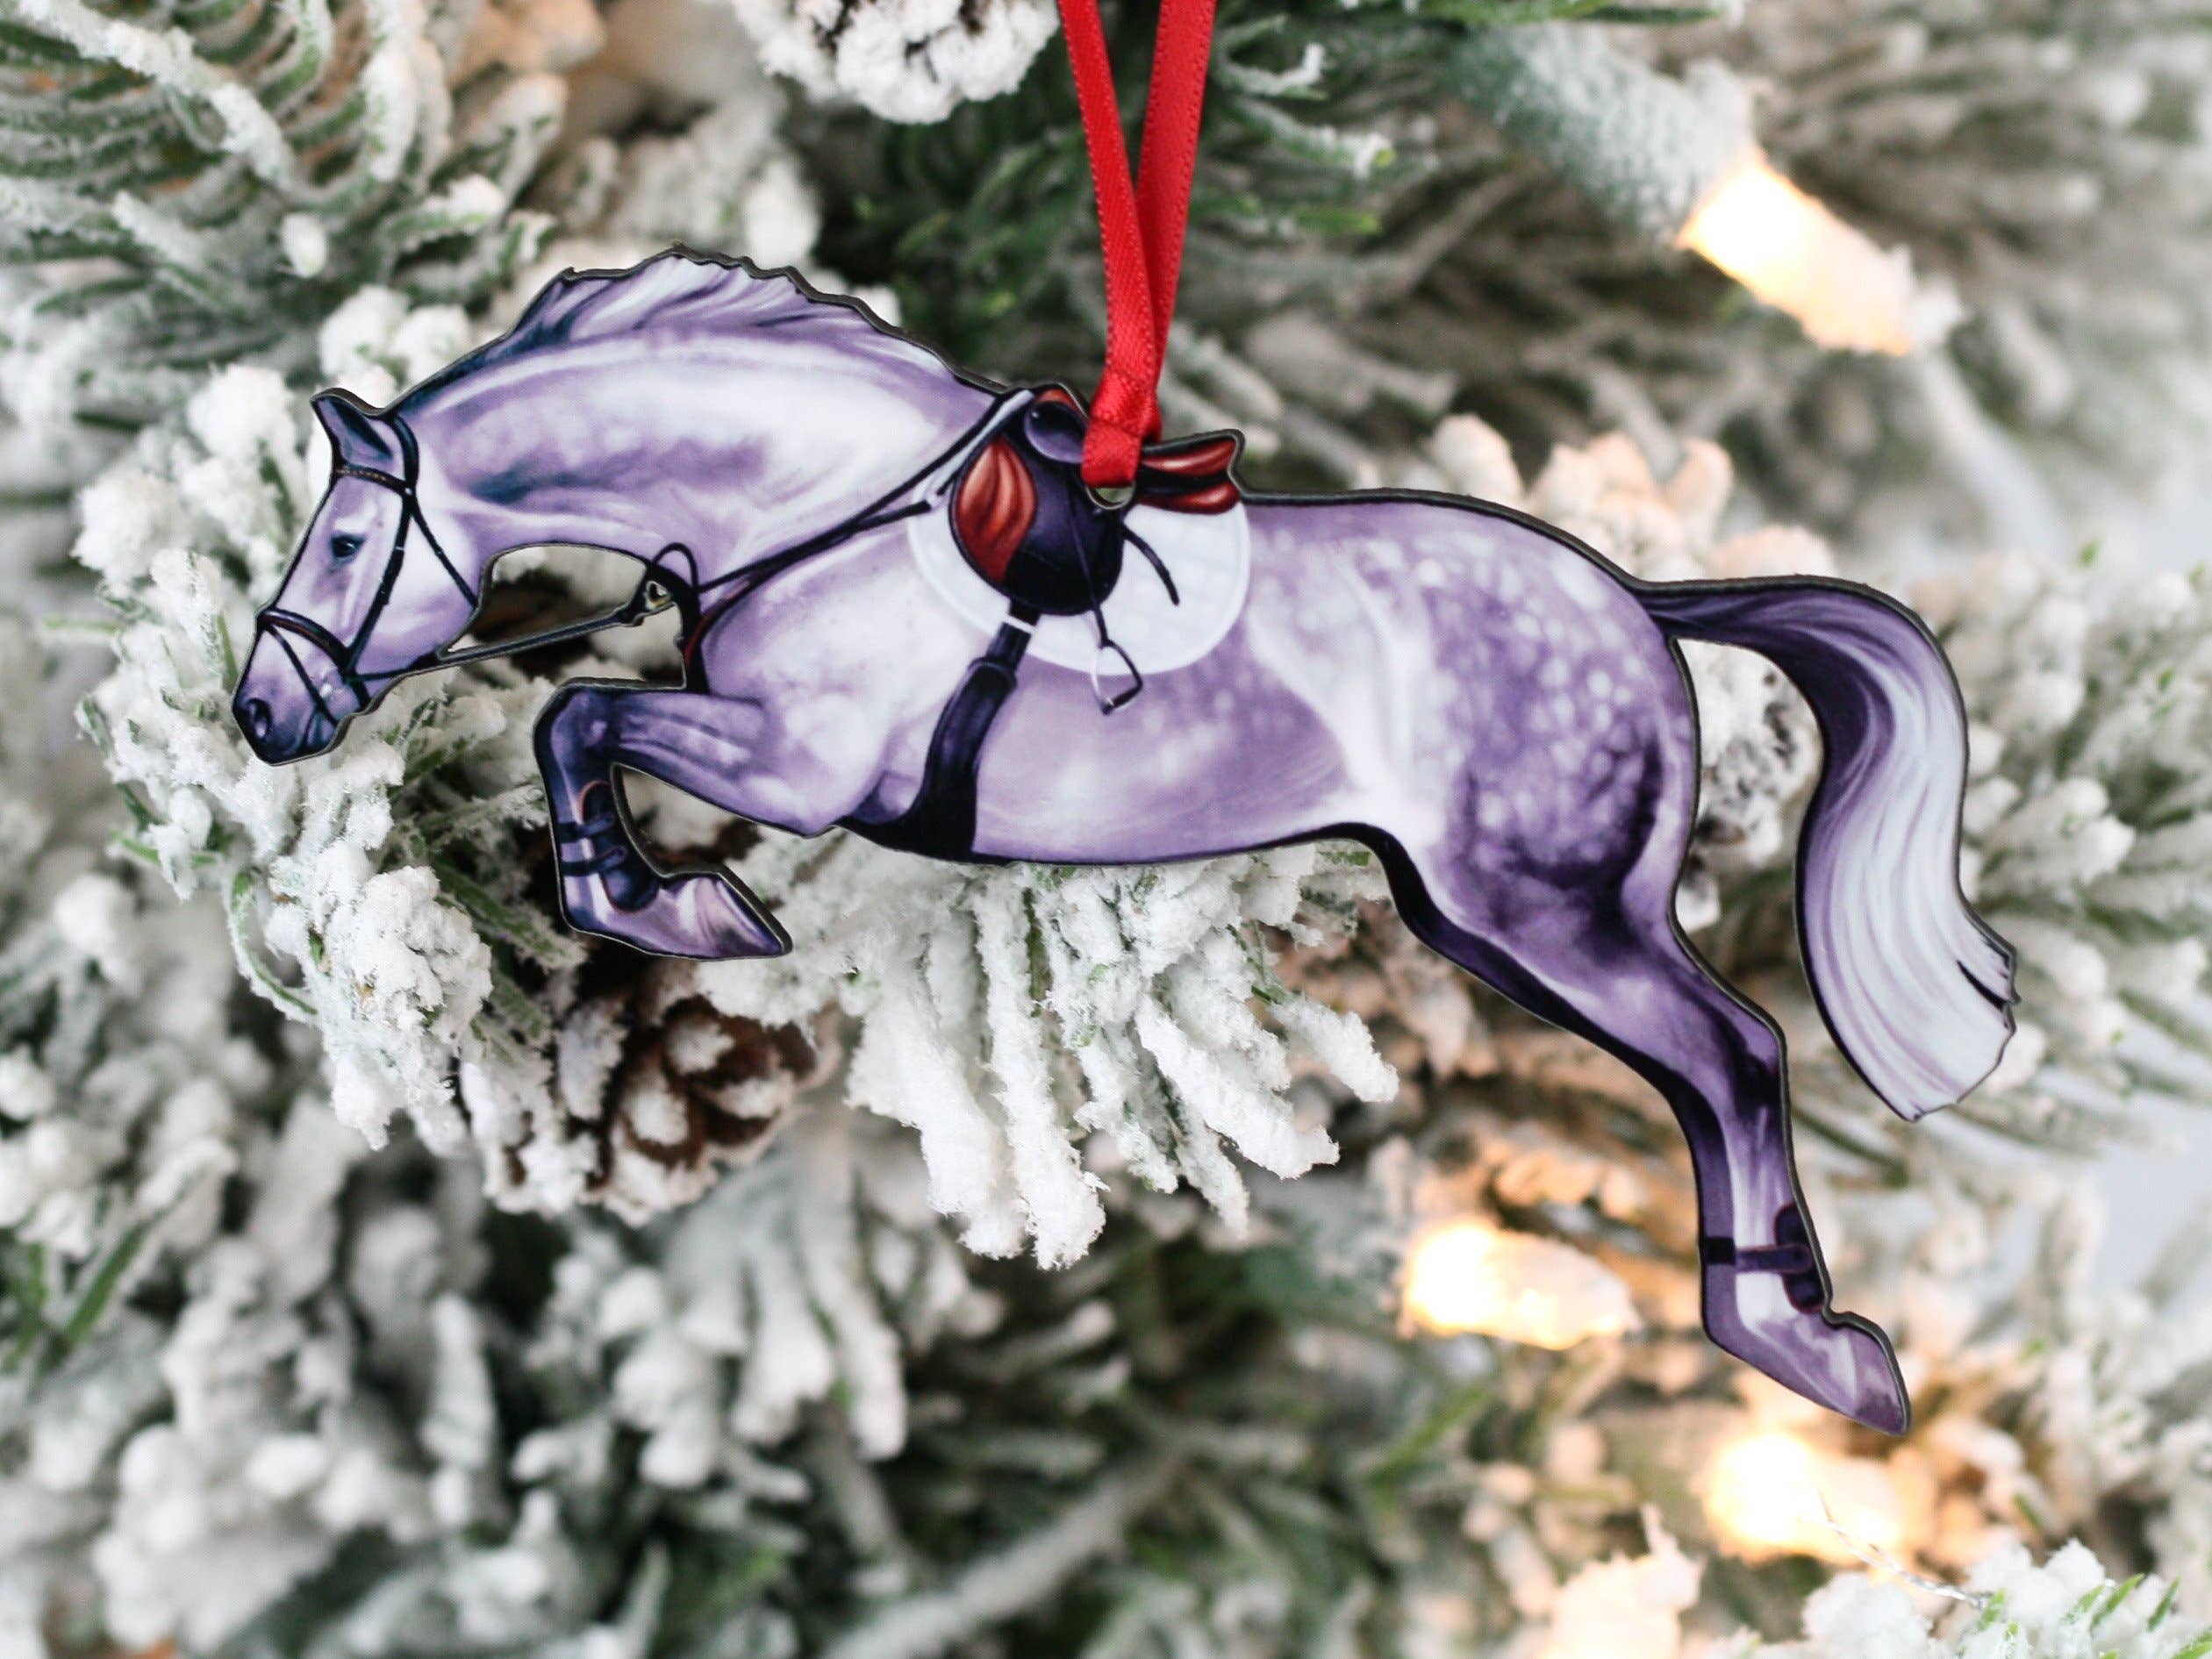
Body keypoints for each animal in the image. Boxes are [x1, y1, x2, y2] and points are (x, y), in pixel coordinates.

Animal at [233, 249, 2015, 1432]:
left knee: (1735, 1058)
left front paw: (675, 908)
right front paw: (664, 895)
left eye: (342, 538)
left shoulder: (801, 764)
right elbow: (580, 722)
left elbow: (578, 720)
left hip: (1554, 912)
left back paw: (1802, 1339)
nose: (260, 710)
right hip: (1502, 918)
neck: (813, 515)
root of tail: (1634, 601)